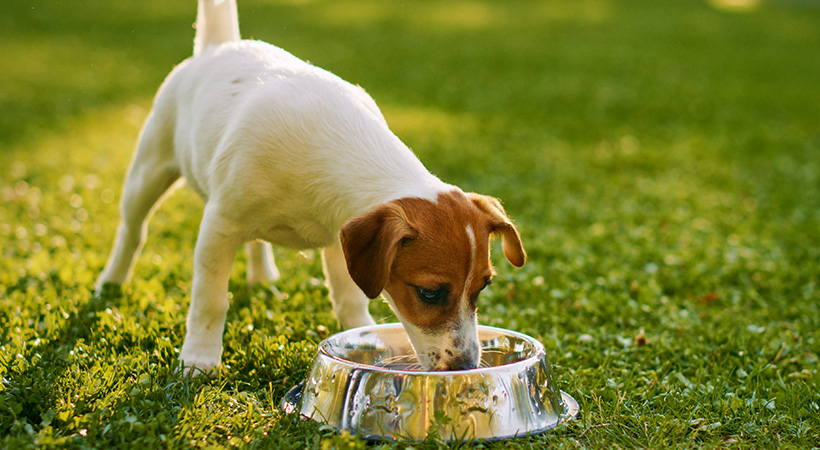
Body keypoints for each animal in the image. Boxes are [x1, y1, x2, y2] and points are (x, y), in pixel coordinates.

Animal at [96, 0, 524, 372]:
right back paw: (110, 283)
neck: (337, 144)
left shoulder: (340, 241)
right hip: (148, 171)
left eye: (483, 287)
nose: (467, 366)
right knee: (132, 231)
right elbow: (210, 301)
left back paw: (263, 277)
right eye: (430, 293)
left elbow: (350, 302)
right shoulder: (218, 227)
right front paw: (199, 360)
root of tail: (219, 45)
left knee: (255, 242)